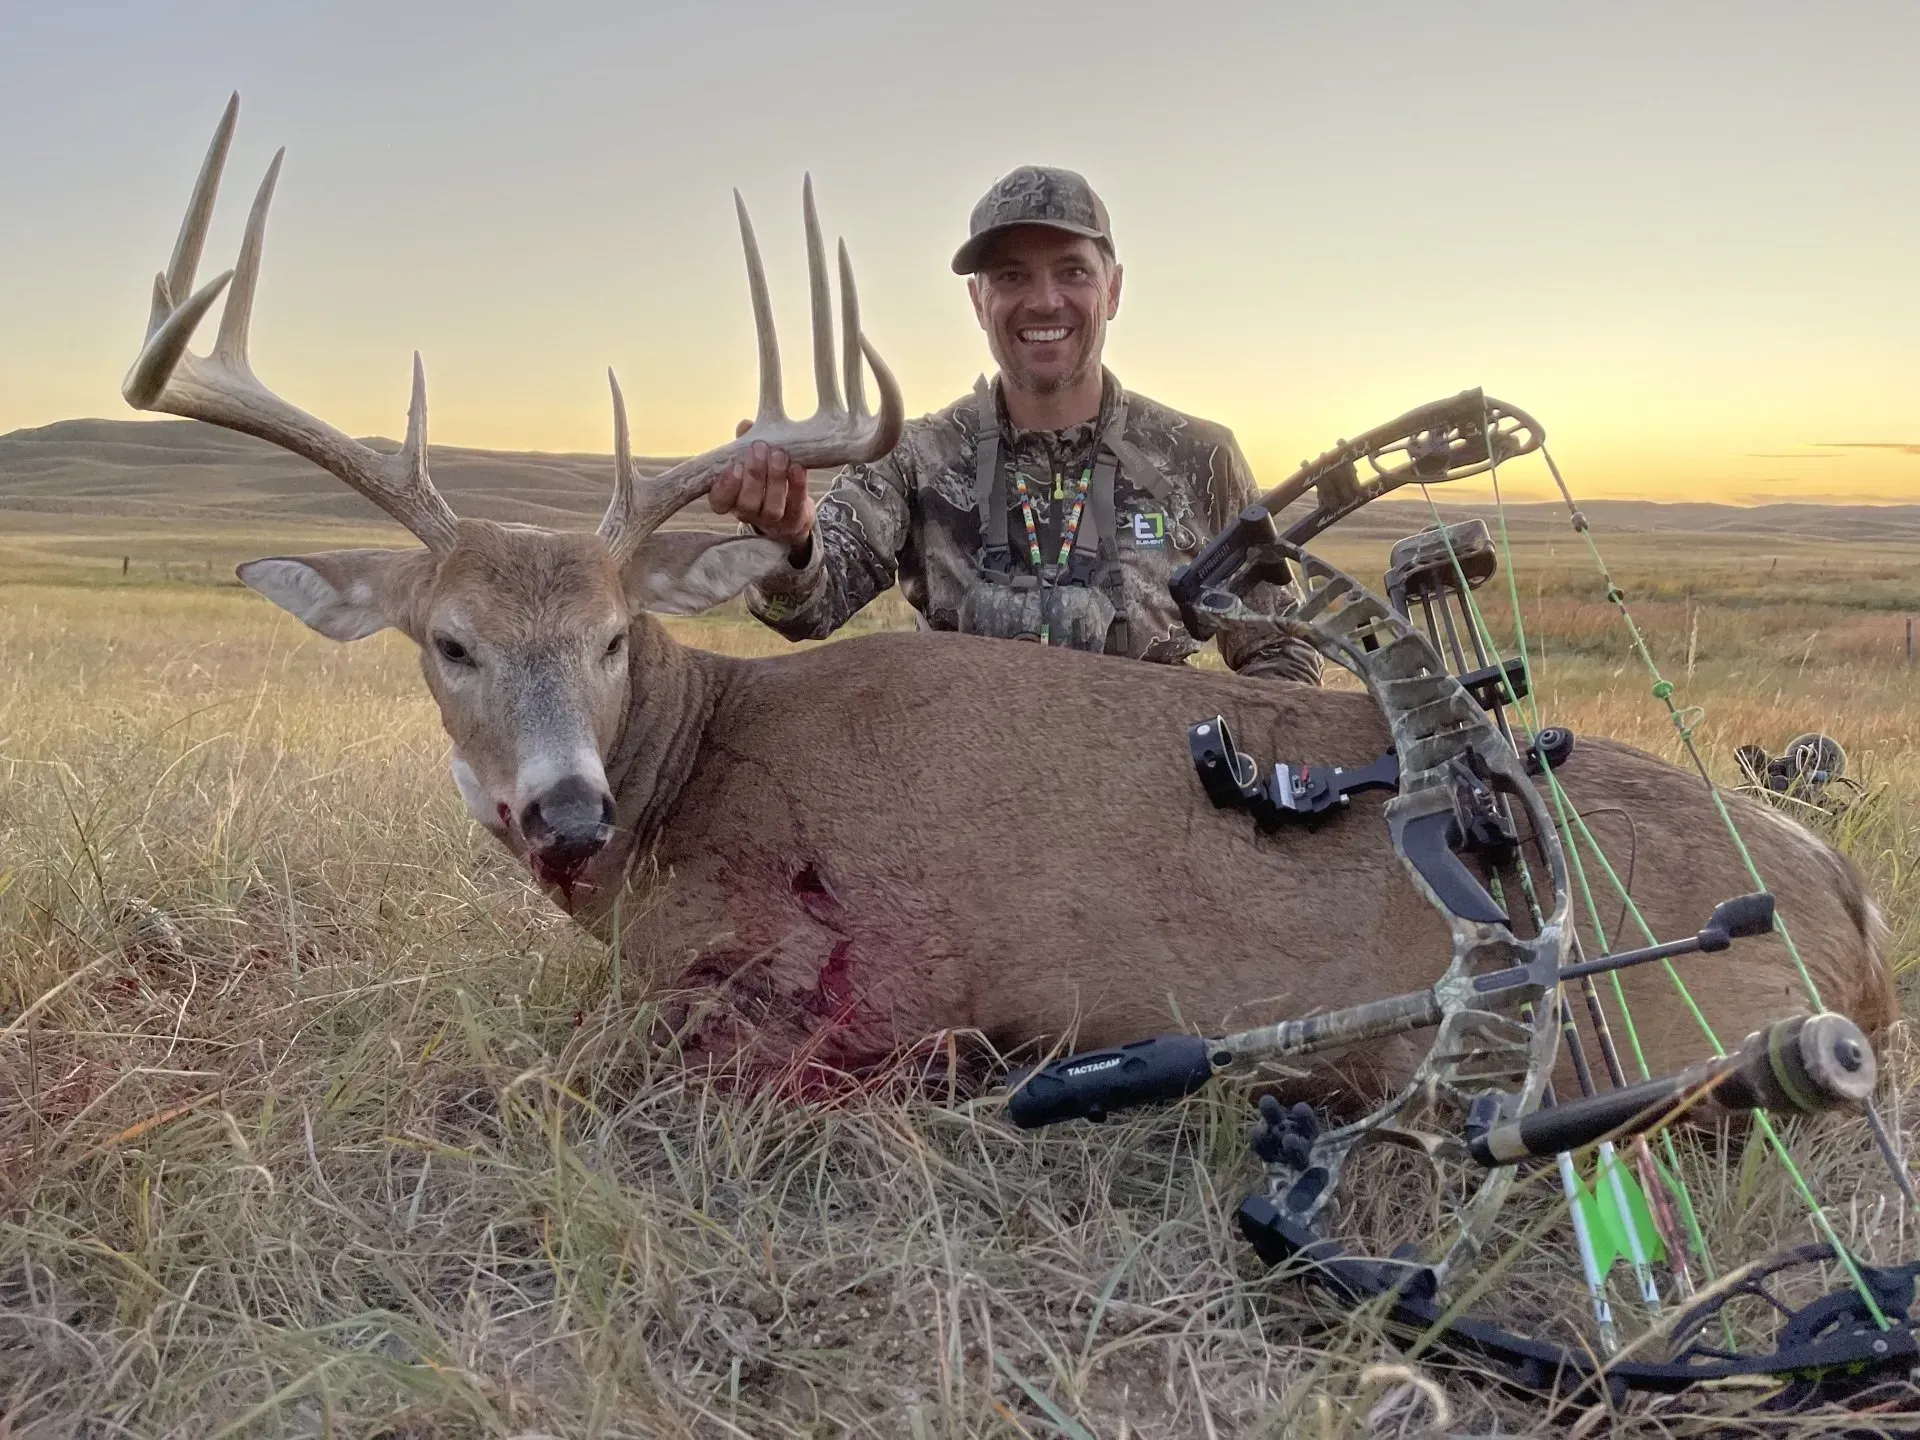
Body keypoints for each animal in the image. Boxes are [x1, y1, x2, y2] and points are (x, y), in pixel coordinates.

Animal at [125, 97, 1896, 1111]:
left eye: (616, 637)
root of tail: (1842, 892)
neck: (688, 776)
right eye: (451, 642)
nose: (561, 807)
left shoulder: (809, 999)